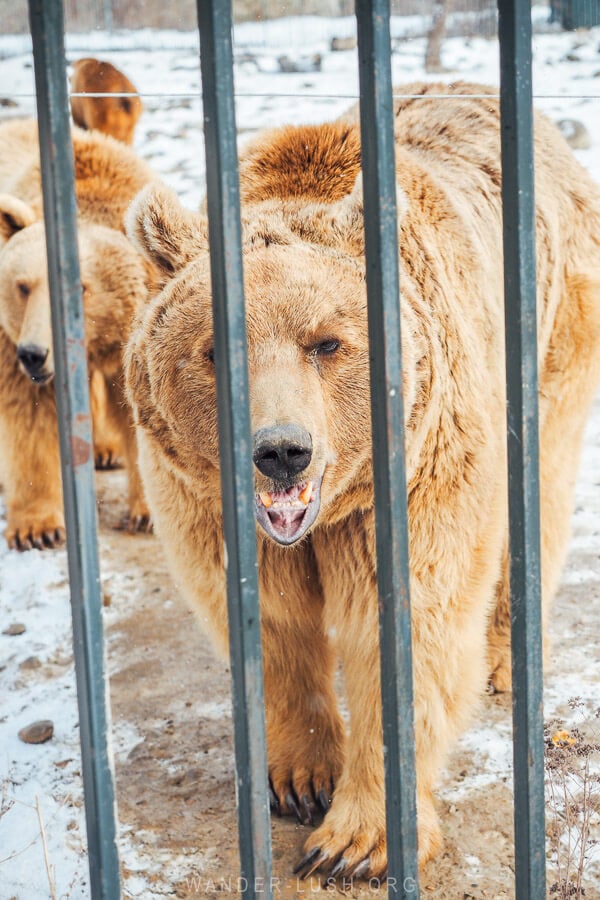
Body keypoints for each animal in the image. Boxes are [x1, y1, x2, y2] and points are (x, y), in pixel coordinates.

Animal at [0, 118, 157, 548]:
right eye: (23, 285)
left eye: (80, 288)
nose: (33, 353)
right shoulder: (11, 343)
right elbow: (29, 418)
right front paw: (37, 529)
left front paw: (146, 513)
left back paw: (104, 450)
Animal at [123, 86, 600, 880]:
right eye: (215, 349)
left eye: (327, 342)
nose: (281, 451)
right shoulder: (208, 500)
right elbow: (271, 622)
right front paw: (303, 777)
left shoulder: (415, 468)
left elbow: (409, 625)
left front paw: (356, 841)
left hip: (551, 336)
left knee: (539, 498)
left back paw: (506, 657)